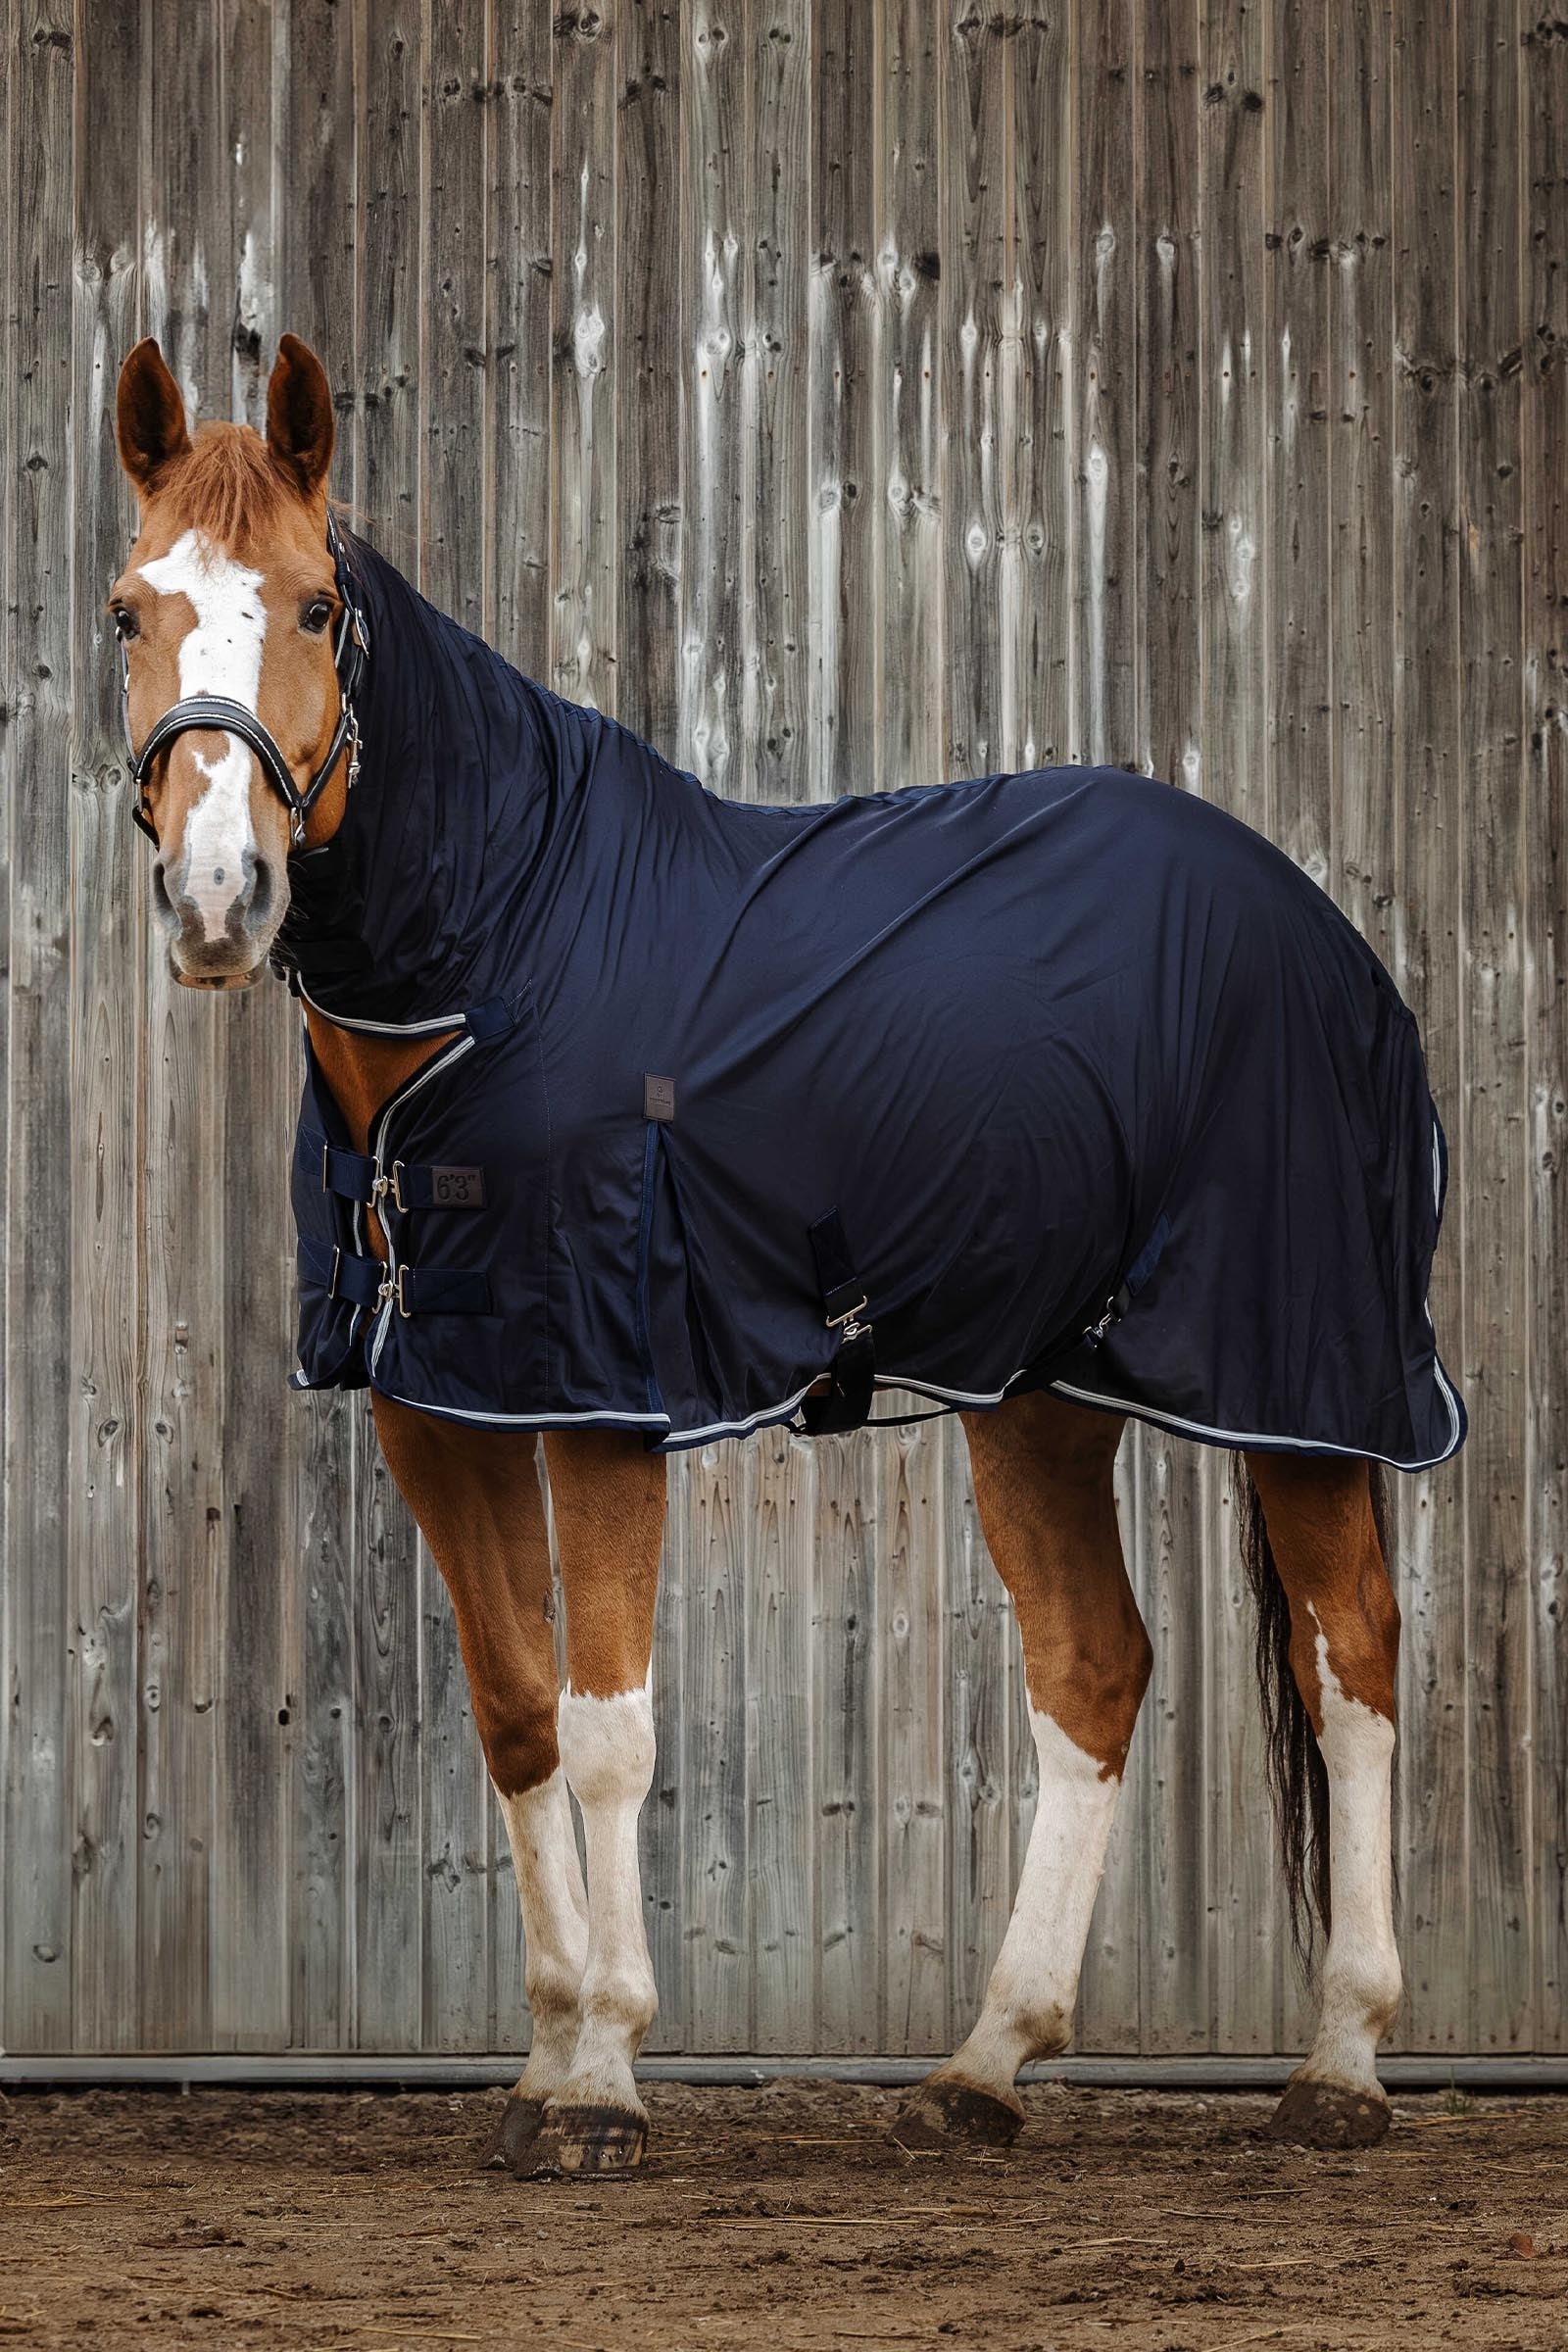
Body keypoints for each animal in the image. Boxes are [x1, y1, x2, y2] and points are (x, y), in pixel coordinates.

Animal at [110, 332, 1464, 2176]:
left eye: (317, 605)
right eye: (128, 609)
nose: (218, 899)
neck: (505, 958)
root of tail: (1327, 935)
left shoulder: (605, 1398)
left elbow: (609, 1733)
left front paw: (605, 2080)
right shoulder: (440, 1401)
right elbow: (517, 1712)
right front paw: (545, 2059)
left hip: (1305, 1376)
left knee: (1355, 1670)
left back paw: (1339, 2063)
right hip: (1037, 1394)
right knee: (1095, 1668)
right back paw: (984, 2065)